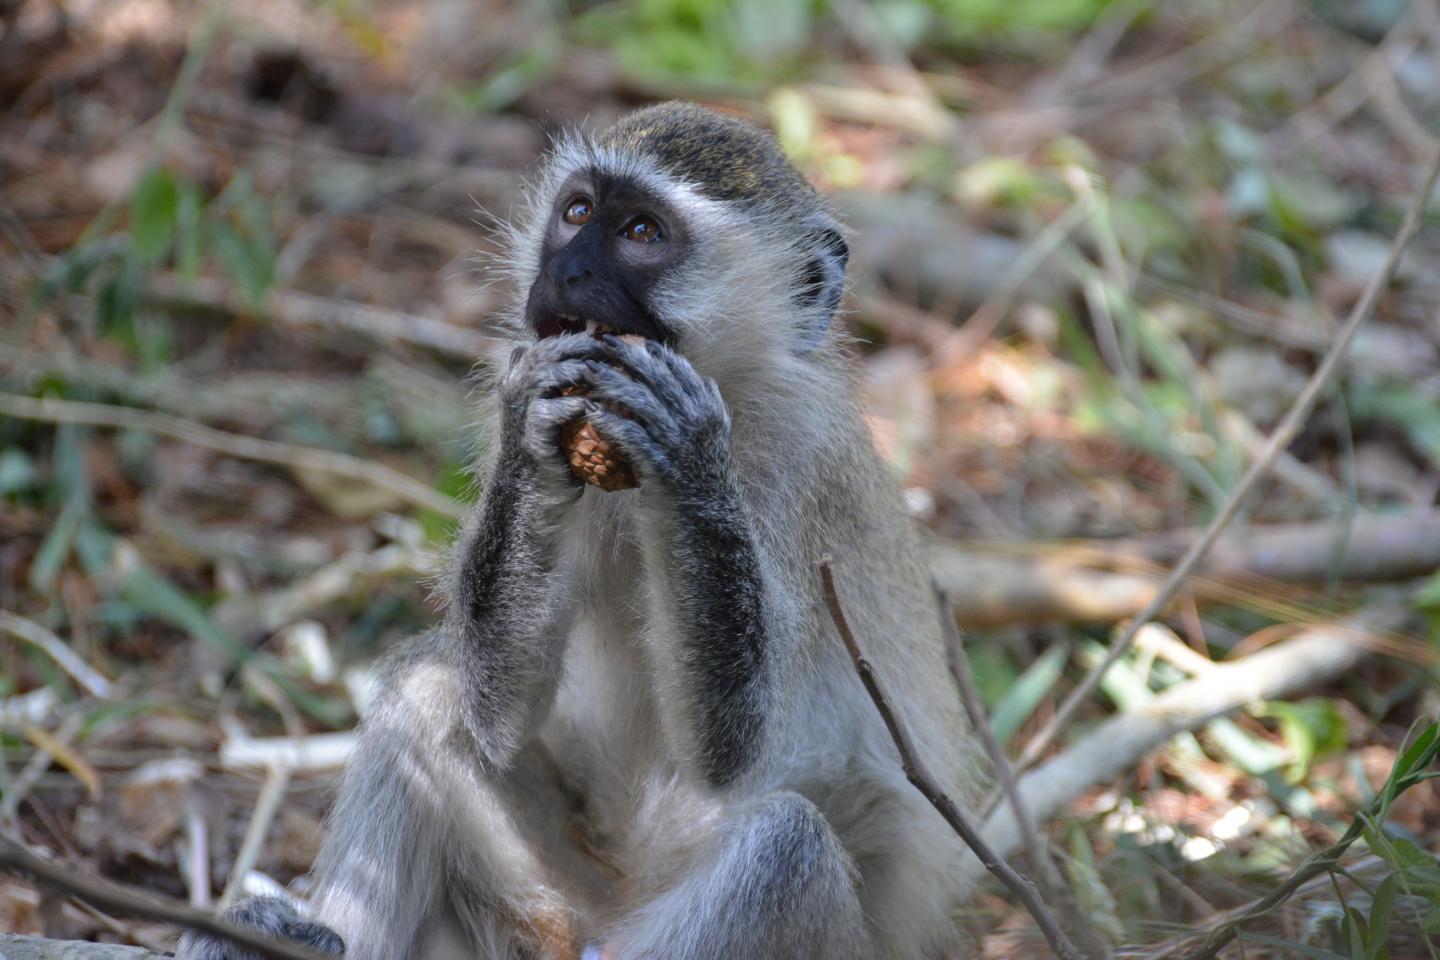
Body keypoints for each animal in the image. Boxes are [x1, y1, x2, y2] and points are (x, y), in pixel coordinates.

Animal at [180, 101, 979, 960]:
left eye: (641, 231)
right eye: (577, 212)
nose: (563, 272)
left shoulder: (801, 464)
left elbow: (732, 755)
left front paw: (688, 453)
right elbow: (498, 718)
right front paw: (534, 427)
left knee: (785, 847)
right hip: (543, 907)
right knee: (430, 687)